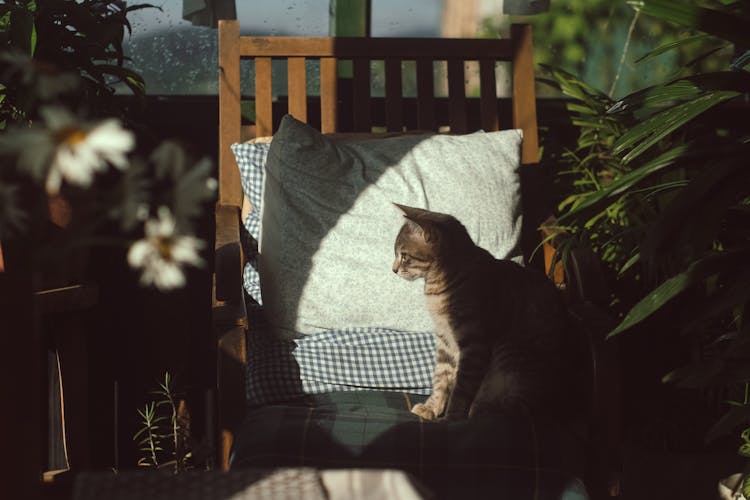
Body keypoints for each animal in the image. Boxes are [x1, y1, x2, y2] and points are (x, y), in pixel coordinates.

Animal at [394, 205, 568, 420]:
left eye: (404, 256)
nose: (393, 269)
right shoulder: (445, 340)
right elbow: (441, 377)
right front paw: (432, 407)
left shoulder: (475, 345)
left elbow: (461, 390)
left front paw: (451, 419)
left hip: (510, 358)